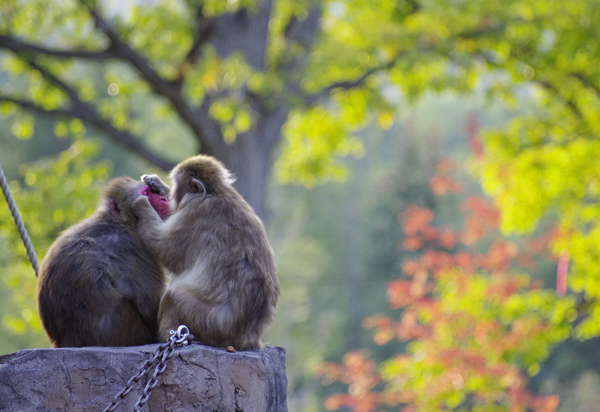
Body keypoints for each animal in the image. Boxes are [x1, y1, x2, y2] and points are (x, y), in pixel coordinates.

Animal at [37, 175, 171, 346]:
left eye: (151, 191)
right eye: (146, 193)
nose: (163, 199)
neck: (122, 222)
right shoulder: (133, 248)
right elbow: (153, 310)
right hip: (130, 333)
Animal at [132, 154, 280, 350]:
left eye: (178, 186)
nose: (173, 193)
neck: (213, 192)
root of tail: (247, 338)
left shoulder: (195, 211)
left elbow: (167, 250)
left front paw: (142, 204)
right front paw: (157, 184)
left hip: (211, 325)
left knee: (173, 297)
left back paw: (164, 336)